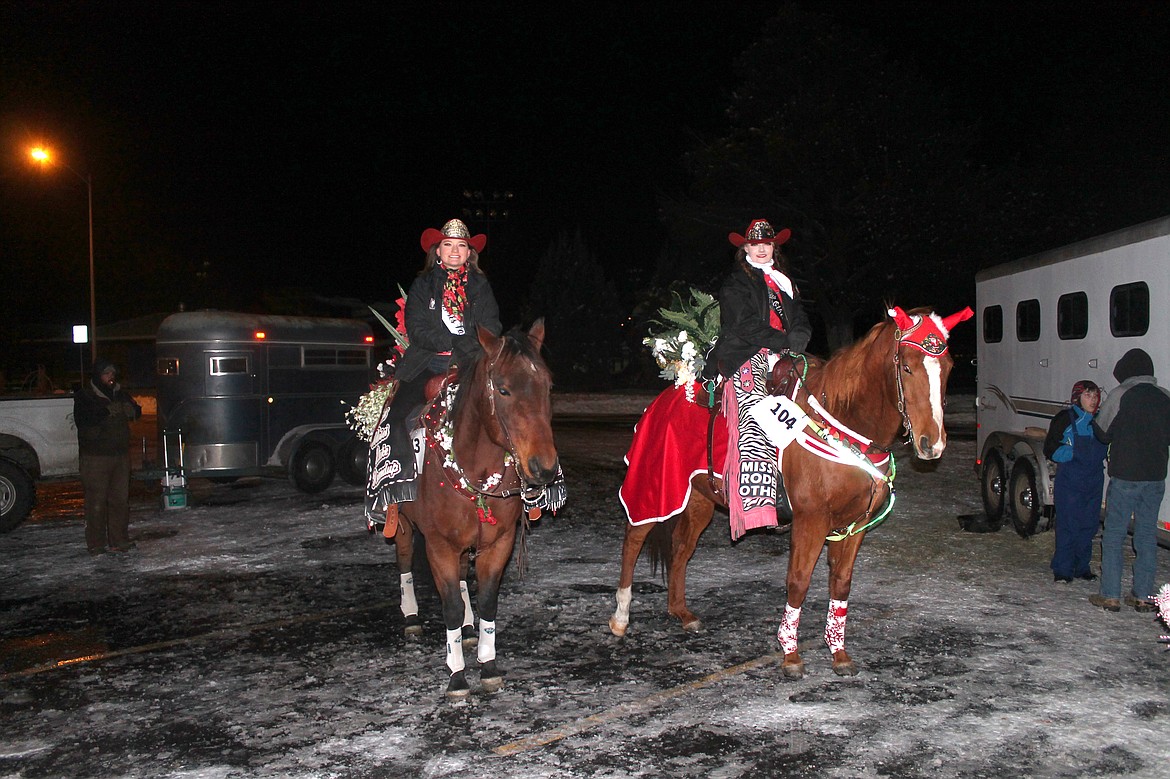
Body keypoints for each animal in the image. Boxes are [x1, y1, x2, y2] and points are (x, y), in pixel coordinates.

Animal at [390, 318, 559, 692]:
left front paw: (488, 663)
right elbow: (450, 605)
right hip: (403, 523)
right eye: (504, 390)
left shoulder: (499, 543)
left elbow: (487, 601)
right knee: (404, 559)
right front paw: (457, 675)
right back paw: (411, 617)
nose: (543, 468)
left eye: (548, 386)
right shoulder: (439, 546)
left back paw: (468, 629)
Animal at [608, 306, 973, 678]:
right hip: (655, 486)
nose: (932, 444)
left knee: (681, 549)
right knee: (633, 539)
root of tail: (670, 393)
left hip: (700, 499)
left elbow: (841, 582)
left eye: (948, 368)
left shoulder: (854, 524)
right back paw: (620, 617)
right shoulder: (810, 521)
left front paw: (838, 652)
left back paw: (680, 612)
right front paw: (790, 654)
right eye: (907, 366)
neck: (843, 424)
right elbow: (798, 580)